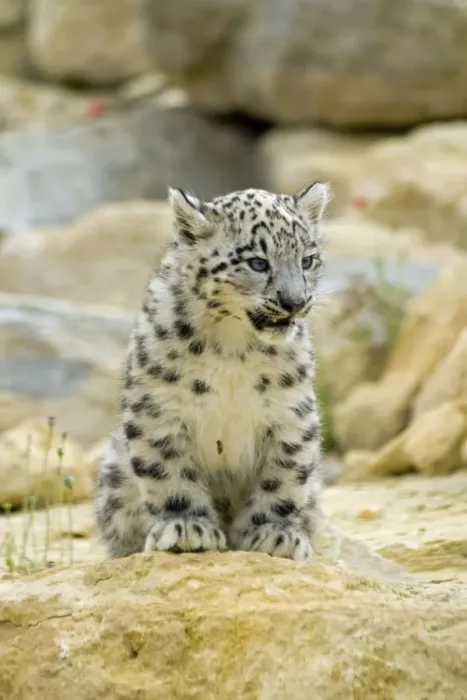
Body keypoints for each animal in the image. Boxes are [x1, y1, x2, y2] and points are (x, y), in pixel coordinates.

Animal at [95, 181, 330, 562]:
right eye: (257, 262)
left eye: (307, 259)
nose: (295, 302)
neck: (234, 347)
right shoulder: (158, 409)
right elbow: (169, 472)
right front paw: (187, 528)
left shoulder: (291, 413)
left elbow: (284, 477)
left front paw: (274, 534)